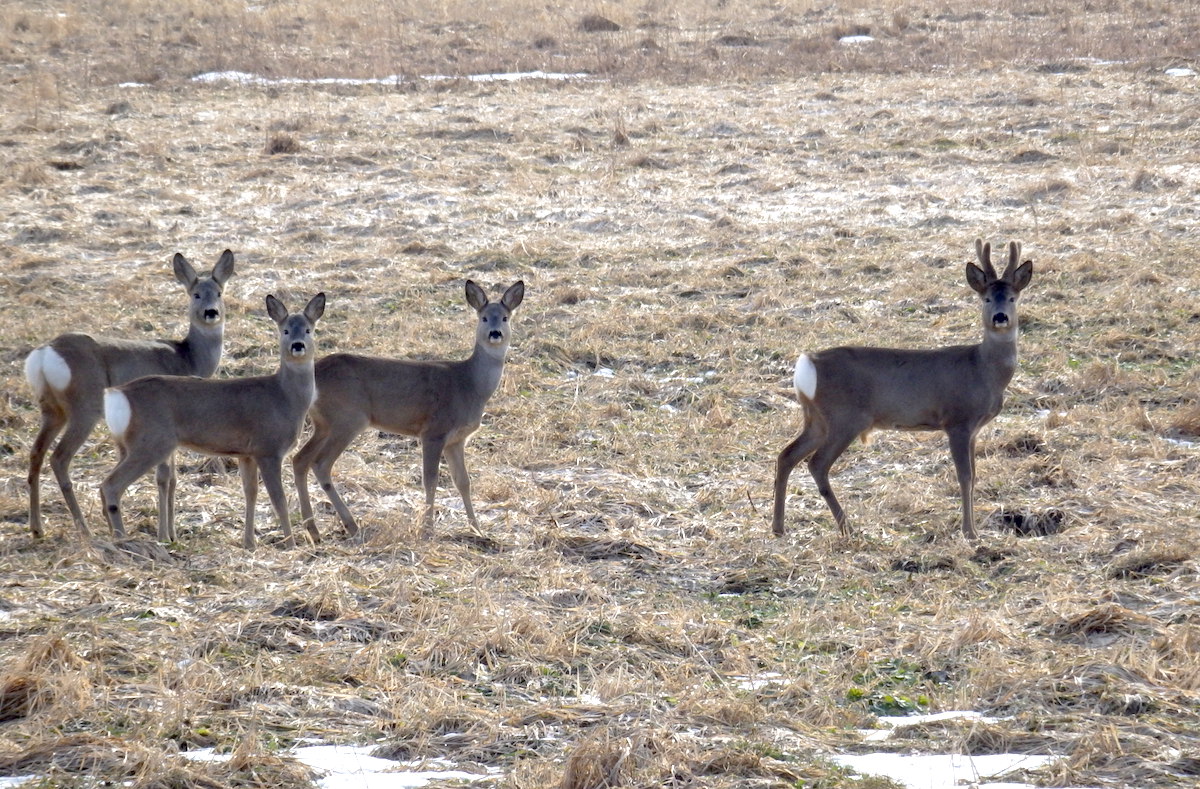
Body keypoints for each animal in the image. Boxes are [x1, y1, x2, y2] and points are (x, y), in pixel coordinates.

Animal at [24, 249, 235, 537]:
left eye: (219, 292)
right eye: (195, 294)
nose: (211, 312)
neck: (188, 357)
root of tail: (45, 353)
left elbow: (171, 477)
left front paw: (169, 532)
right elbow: (165, 477)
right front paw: (166, 535)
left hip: (52, 410)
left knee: (36, 453)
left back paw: (37, 528)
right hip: (85, 407)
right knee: (59, 458)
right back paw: (84, 529)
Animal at [99, 290, 326, 546]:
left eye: (308, 329)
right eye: (285, 330)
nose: (298, 346)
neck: (284, 397)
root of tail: (117, 394)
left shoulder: (247, 453)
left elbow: (251, 494)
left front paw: (249, 544)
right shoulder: (268, 449)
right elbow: (279, 501)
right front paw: (291, 543)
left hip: (128, 445)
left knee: (105, 485)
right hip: (152, 442)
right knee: (111, 485)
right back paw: (122, 540)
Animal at [292, 276, 523, 534]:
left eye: (505, 317)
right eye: (483, 317)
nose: (495, 333)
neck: (469, 383)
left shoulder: (457, 439)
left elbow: (463, 481)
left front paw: (477, 528)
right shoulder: (434, 431)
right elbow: (430, 480)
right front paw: (428, 528)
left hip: (324, 424)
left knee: (300, 459)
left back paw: (313, 529)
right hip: (348, 418)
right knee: (320, 463)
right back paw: (350, 525)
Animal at [772, 236, 1036, 537]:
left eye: (1013, 298)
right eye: (987, 298)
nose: (1000, 317)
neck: (983, 370)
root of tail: (808, 363)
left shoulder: (974, 429)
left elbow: (975, 474)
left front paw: (972, 529)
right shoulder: (957, 420)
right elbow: (964, 476)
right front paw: (970, 533)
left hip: (817, 419)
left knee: (786, 455)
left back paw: (779, 527)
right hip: (845, 417)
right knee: (816, 464)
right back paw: (847, 526)